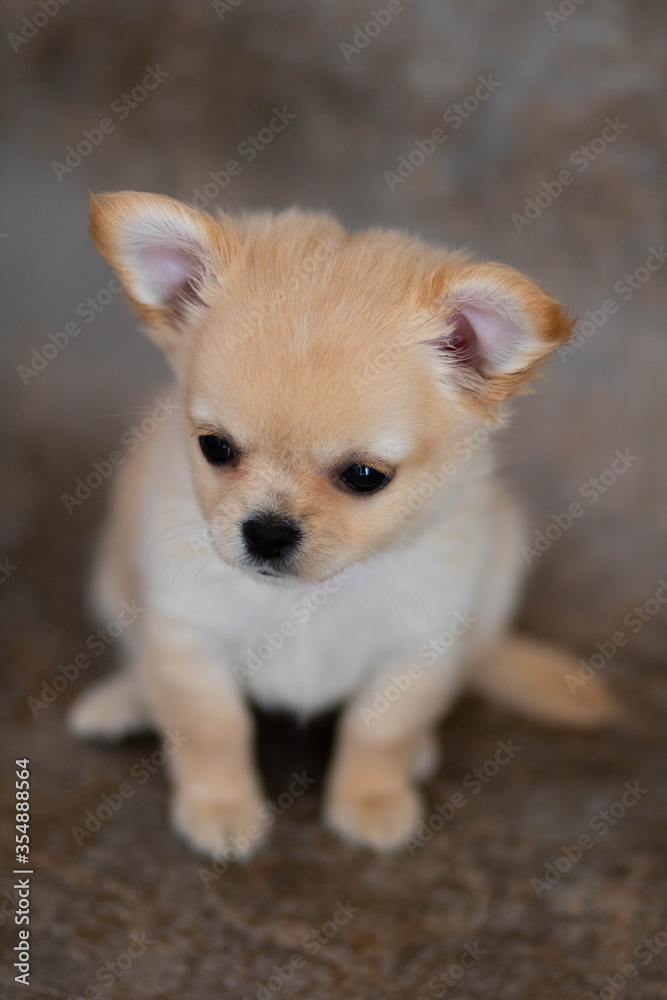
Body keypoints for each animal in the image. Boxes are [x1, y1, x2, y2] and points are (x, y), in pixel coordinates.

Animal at [68, 193, 616, 860]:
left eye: (364, 476)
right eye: (214, 447)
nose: (267, 532)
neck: (311, 597)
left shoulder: (417, 648)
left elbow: (377, 730)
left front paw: (372, 801)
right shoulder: (187, 637)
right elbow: (214, 729)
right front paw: (221, 808)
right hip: (112, 582)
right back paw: (124, 699)